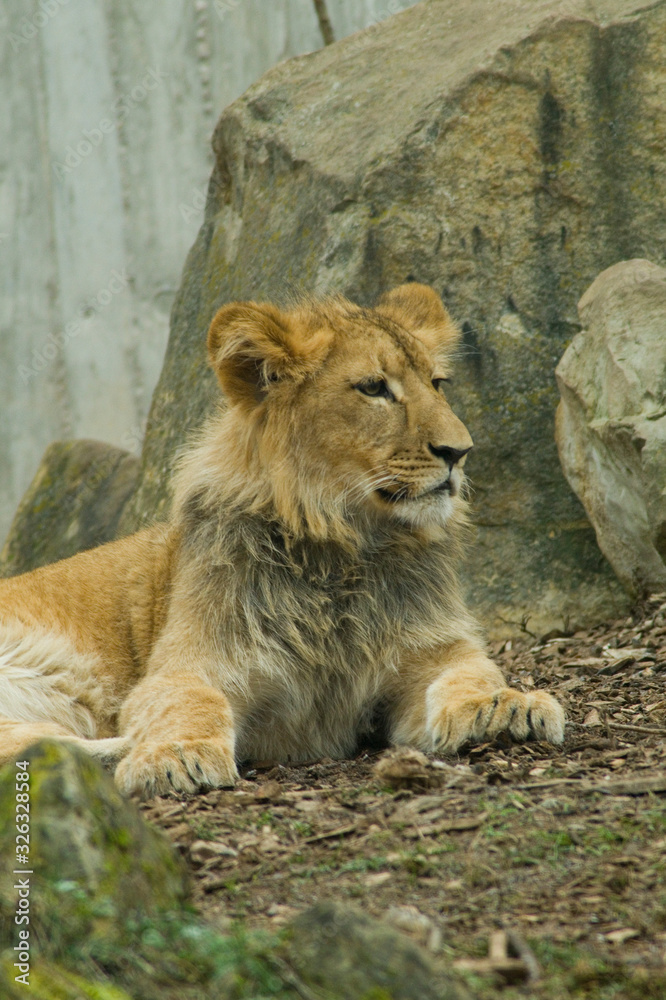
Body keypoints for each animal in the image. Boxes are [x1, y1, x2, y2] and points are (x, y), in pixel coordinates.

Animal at [0, 283, 564, 797]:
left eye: (437, 382)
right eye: (374, 388)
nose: (460, 451)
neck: (342, 549)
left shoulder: (432, 653)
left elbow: (470, 675)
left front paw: (505, 707)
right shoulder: (188, 663)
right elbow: (188, 702)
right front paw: (175, 754)